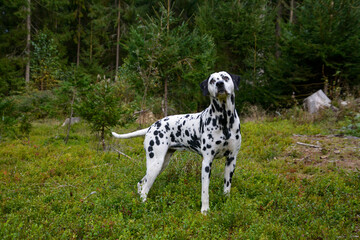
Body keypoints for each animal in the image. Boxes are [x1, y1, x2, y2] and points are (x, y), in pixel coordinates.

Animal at [112, 71, 242, 214]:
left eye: (225, 77)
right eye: (212, 80)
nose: (220, 84)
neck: (224, 120)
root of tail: (151, 127)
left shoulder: (231, 160)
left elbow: (227, 188)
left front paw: (227, 204)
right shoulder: (207, 162)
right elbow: (205, 192)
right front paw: (205, 211)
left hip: (161, 164)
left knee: (141, 183)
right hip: (155, 163)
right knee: (145, 188)